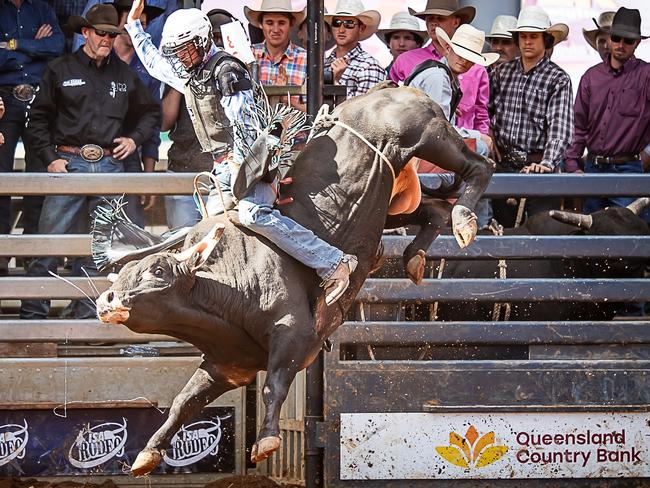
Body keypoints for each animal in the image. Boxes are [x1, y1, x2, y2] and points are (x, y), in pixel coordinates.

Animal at [95, 84, 492, 472]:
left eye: (158, 270)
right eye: (123, 273)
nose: (106, 300)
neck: (227, 292)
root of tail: (394, 88)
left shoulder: (293, 335)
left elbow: (273, 385)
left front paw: (267, 441)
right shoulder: (226, 366)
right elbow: (183, 402)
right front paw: (147, 454)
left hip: (430, 138)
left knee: (478, 167)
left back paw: (464, 221)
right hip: (392, 206)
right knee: (434, 210)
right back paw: (416, 257)